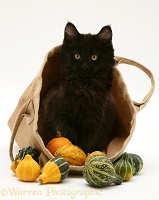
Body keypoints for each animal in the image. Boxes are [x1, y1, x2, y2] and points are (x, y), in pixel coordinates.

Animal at [38, 22, 115, 153]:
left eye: (94, 57)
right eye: (77, 56)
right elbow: (66, 134)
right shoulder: (61, 114)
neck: (84, 87)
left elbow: (89, 140)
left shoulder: (95, 118)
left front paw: (85, 152)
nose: (84, 66)